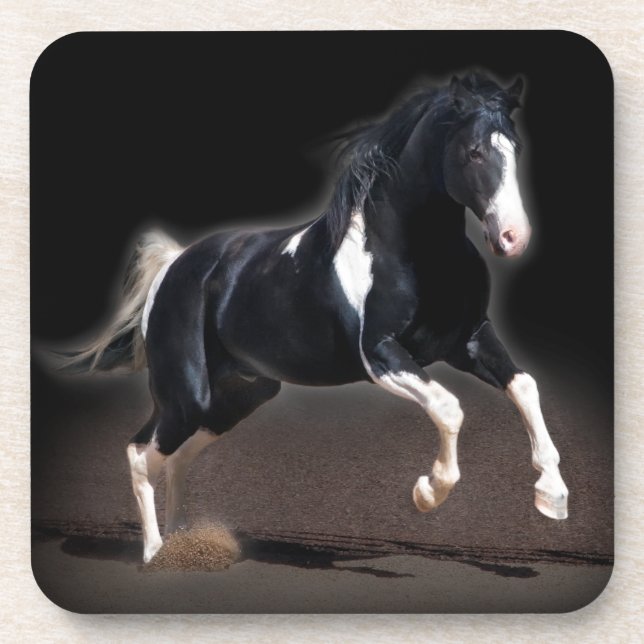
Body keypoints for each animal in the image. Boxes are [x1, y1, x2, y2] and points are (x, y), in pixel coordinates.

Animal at [62, 72, 569, 563]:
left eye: (516, 149)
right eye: (474, 151)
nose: (513, 238)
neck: (413, 252)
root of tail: (174, 265)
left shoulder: (469, 340)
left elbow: (525, 386)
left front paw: (552, 497)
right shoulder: (381, 356)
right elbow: (448, 407)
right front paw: (427, 493)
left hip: (236, 397)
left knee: (176, 459)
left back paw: (181, 544)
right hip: (185, 396)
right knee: (140, 454)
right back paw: (154, 554)